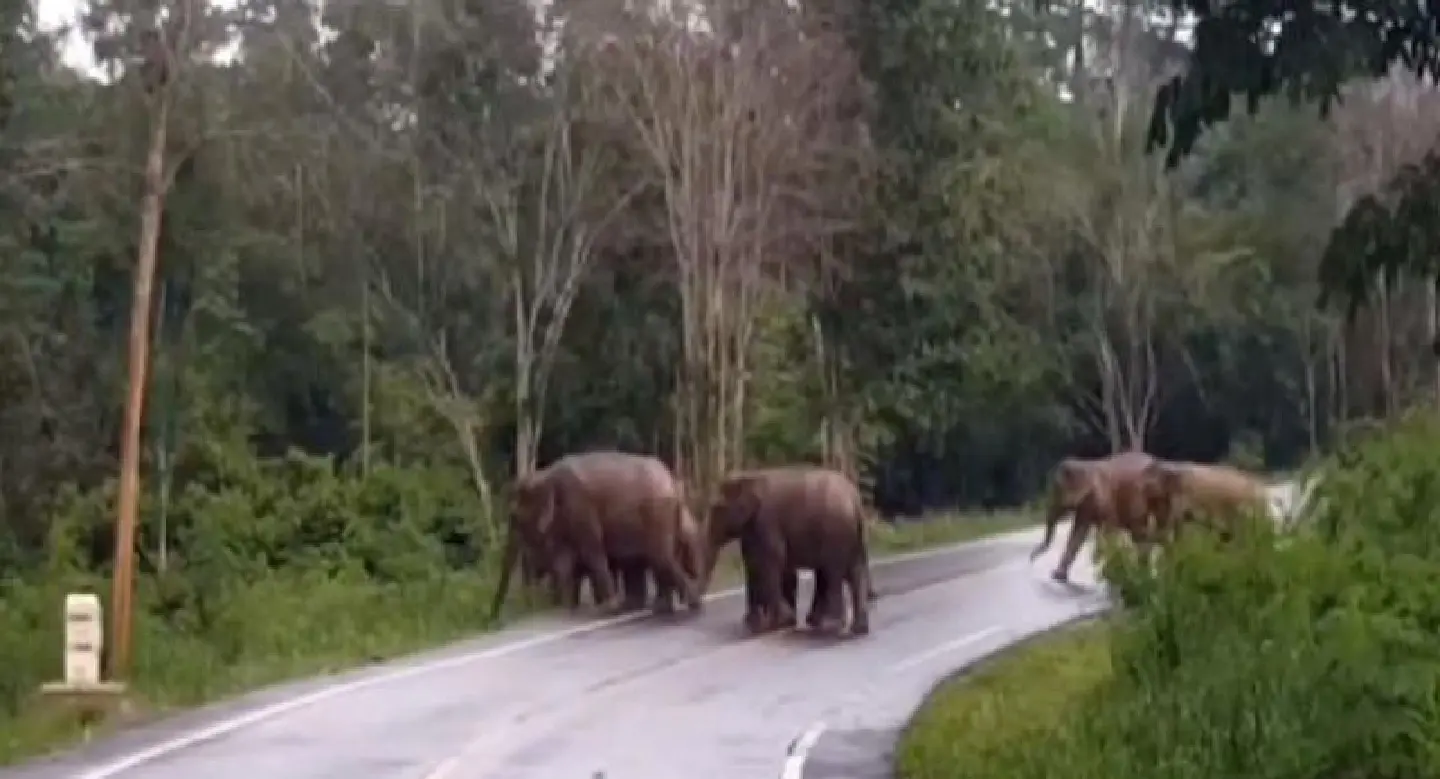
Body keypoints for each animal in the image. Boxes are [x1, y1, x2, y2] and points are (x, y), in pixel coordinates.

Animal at [490, 451, 702, 620]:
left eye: (515, 518)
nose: (493, 620)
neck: (543, 474)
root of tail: (673, 482)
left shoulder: (579, 507)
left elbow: (590, 552)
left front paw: (608, 608)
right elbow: (568, 559)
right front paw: (571, 608)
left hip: (656, 512)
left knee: (660, 556)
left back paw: (691, 605)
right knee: (654, 558)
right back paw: (659, 608)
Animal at [703, 465, 872, 636]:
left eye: (717, 508)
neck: (752, 476)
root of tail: (855, 499)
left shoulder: (767, 522)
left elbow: (772, 561)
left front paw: (778, 622)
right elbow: (758, 564)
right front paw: (764, 624)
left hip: (835, 531)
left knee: (833, 572)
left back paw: (829, 626)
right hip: (854, 534)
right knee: (855, 569)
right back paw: (857, 628)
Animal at [1030, 450, 1158, 584]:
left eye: (1057, 492)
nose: (1031, 559)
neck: (1084, 464)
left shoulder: (1100, 497)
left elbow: (1105, 531)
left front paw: (1108, 575)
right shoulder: (1086, 503)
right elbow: (1079, 532)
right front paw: (1058, 576)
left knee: (1141, 534)